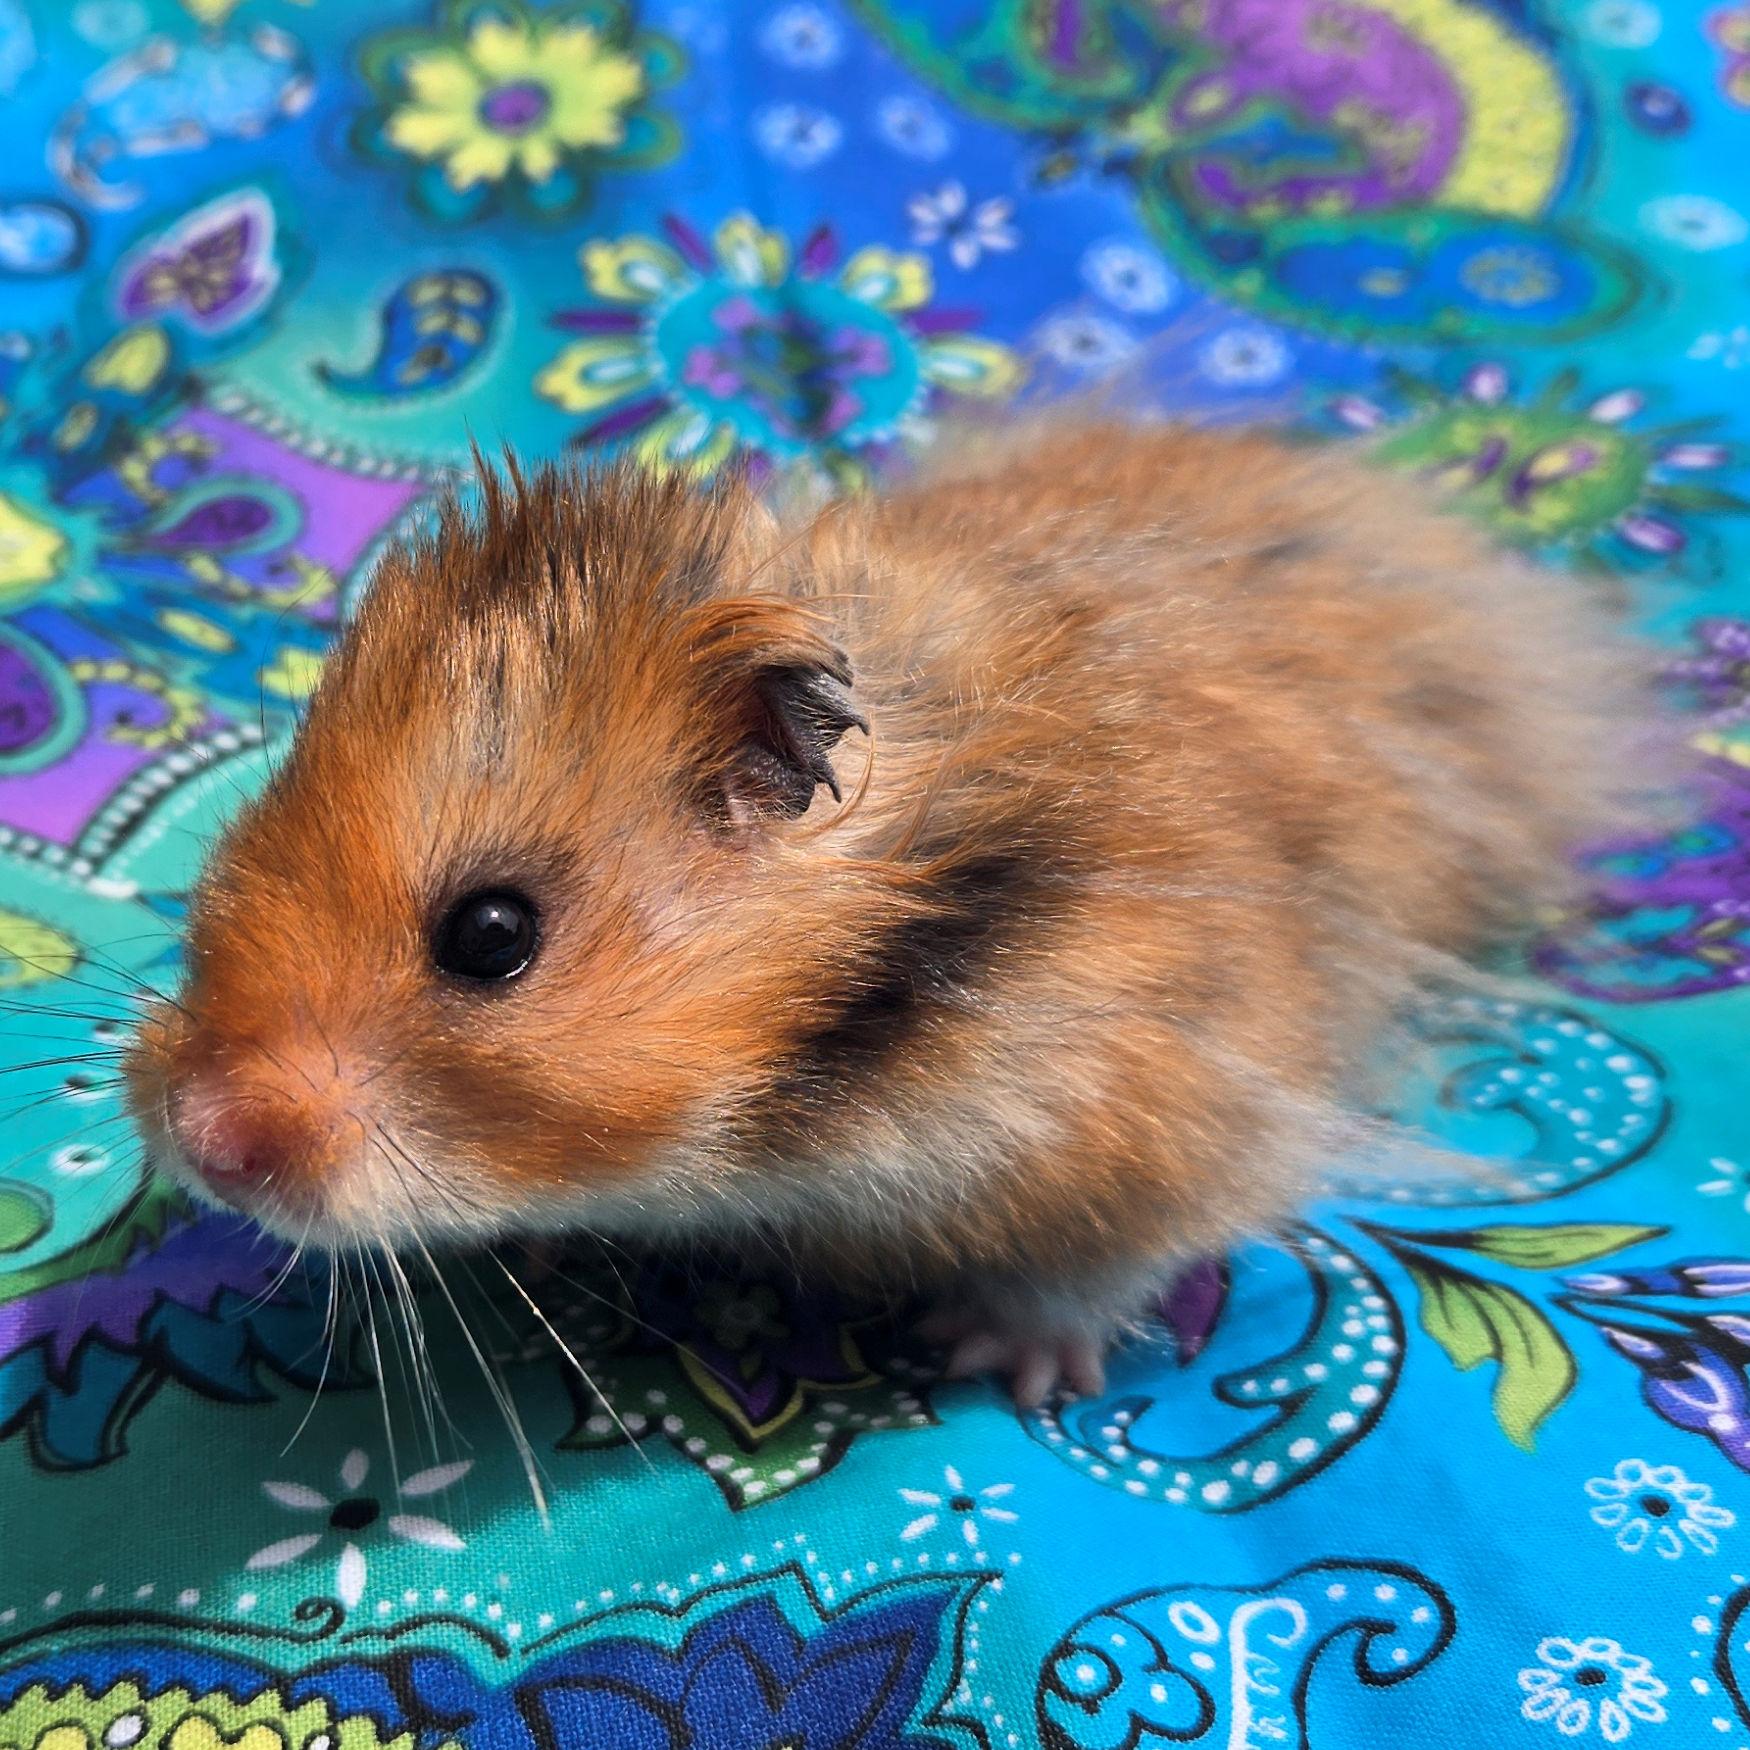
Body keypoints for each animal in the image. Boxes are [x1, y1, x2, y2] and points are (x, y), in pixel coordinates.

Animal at [124, 420, 1654, 1407]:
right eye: (243, 823)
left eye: (490, 934)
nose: (200, 1140)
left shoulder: (1168, 1102)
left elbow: (1108, 1262)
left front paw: (994, 1361)